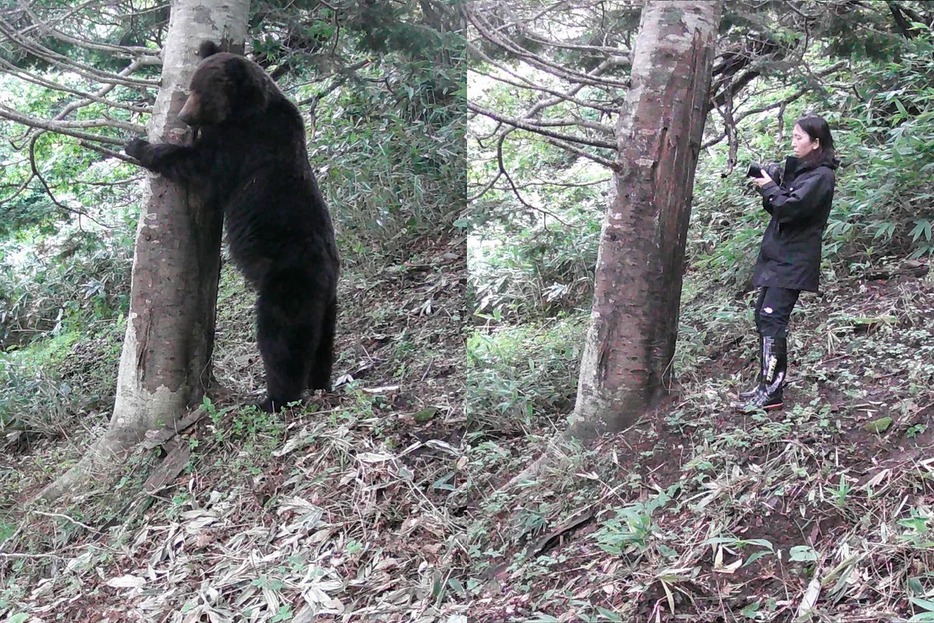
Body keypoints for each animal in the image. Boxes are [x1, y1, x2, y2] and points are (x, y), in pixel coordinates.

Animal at [126, 37, 340, 410]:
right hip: (326, 303)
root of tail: (328, 275)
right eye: (190, 88)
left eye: (199, 92)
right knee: (322, 342)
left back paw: (275, 398)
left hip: (288, 284)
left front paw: (139, 146)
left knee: (281, 338)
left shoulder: (244, 142)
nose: (184, 115)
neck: (247, 108)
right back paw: (320, 382)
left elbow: (201, 166)